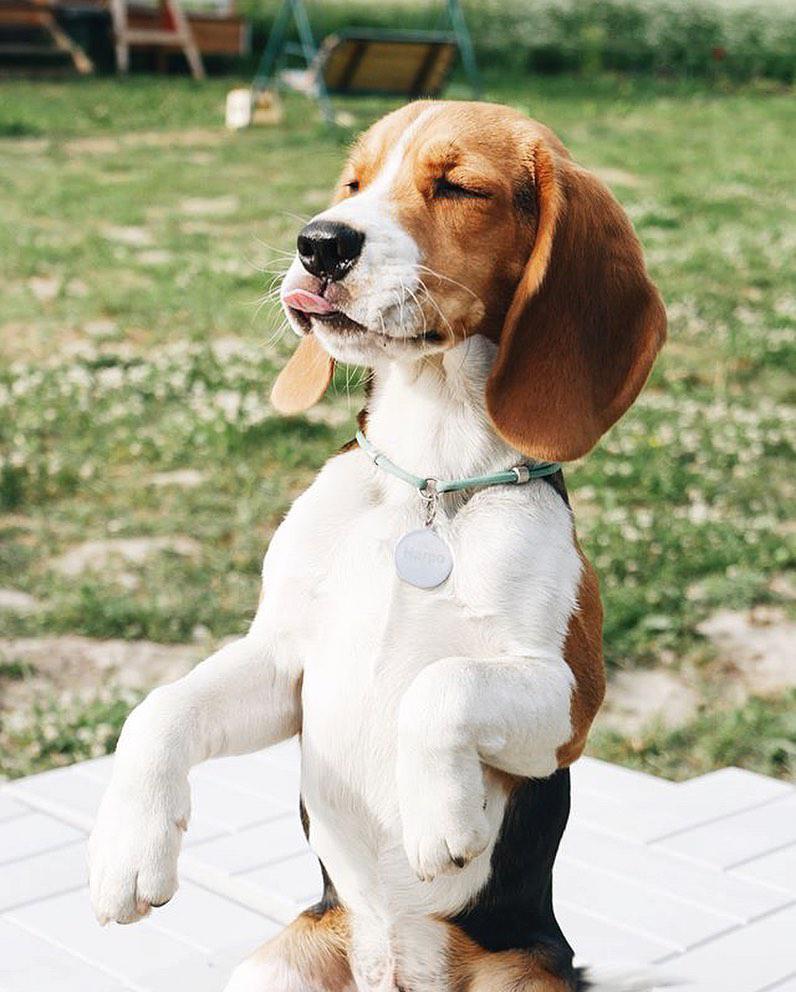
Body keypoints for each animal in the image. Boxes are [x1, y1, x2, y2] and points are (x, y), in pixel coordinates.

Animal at [88, 102, 664, 992]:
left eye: (459, 186)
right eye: (353, 183)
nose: (320, 243)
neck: (427, 481)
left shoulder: (570, 698)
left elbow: (443, 683)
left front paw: (441, 814)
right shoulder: (284, 661)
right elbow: (160, 707)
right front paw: (128, 850)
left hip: (526, 973)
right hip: (279, 967)